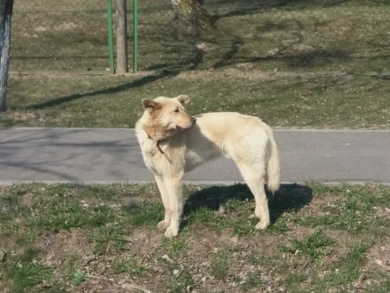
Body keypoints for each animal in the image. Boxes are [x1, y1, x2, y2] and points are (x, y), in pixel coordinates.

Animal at [136, 94, 280, 236]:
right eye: (176, 111)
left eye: (183, 109)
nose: (194, 120)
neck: (157, 138)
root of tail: (260, 122)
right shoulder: (159, 177)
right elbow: (167, 204)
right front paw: (166, 223)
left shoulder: (173, 178)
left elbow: (175, 207)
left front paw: (173, 229)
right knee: (259, 196)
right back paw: (257, 216)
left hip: (250, 172)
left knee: (263, 198)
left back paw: (264, 223)